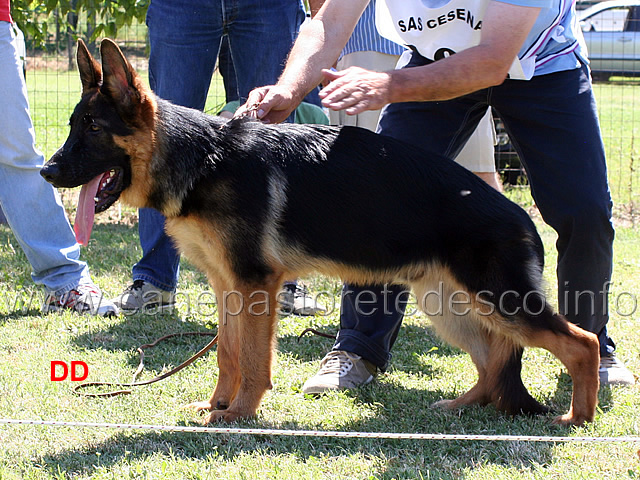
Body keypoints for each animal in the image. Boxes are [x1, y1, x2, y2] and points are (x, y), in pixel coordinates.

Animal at [41, 40, 600, 424]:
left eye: (92, 128)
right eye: (72, 126)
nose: (46, 171)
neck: (203, 160)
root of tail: (521, 217)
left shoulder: (256, 287)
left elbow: (253, 358)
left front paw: (239, 415)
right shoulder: (227, 287)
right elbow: (226, 353)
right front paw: (217, 405)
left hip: (498, 301)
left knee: (580, 343)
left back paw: (577, 417)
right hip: (448, 304)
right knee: (494, 360)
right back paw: (461, 405)